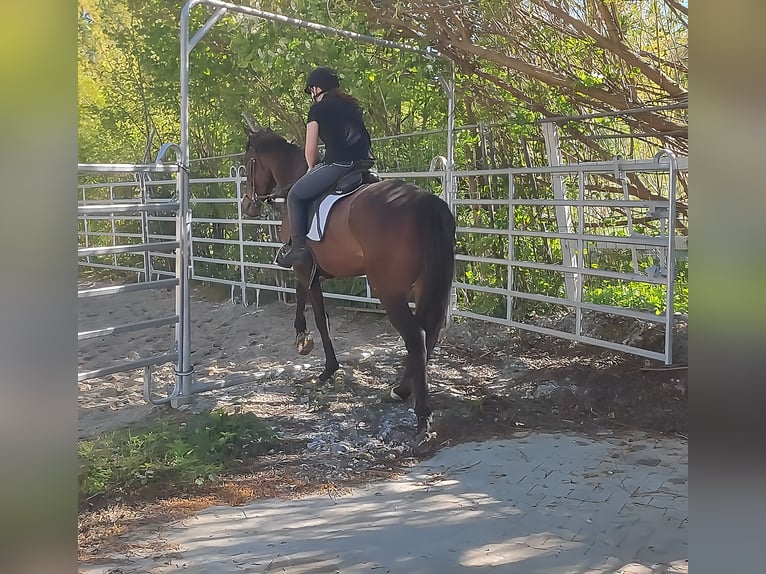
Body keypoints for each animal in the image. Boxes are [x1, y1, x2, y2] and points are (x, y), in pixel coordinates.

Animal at [241, 128, 456, 453]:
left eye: (248, 162)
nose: (247, 204)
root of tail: (424, 203)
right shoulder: (310, 270)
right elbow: (303, 298)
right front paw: (302, 339)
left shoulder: (303, 266)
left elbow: (320, 316)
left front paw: (326, 367)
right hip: (424, 286)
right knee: (430, 333)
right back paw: (401, 390)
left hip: (389, 291)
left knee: (416, 337)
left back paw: (421, 419)